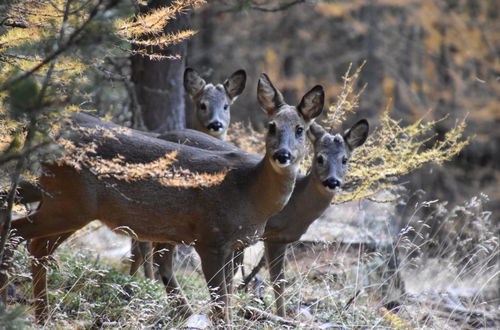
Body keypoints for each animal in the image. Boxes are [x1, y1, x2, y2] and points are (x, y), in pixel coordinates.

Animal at [3, 73, 324, 324]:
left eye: (300, 129)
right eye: (271, 126)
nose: (282, 155)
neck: (248, 193)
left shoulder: (234, 244)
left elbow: (228, 301)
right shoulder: (210, 238)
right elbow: (220, 305)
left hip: (64, 203)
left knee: (36, 244)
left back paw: (42, 316)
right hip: (68, 202)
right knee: (17, 232)